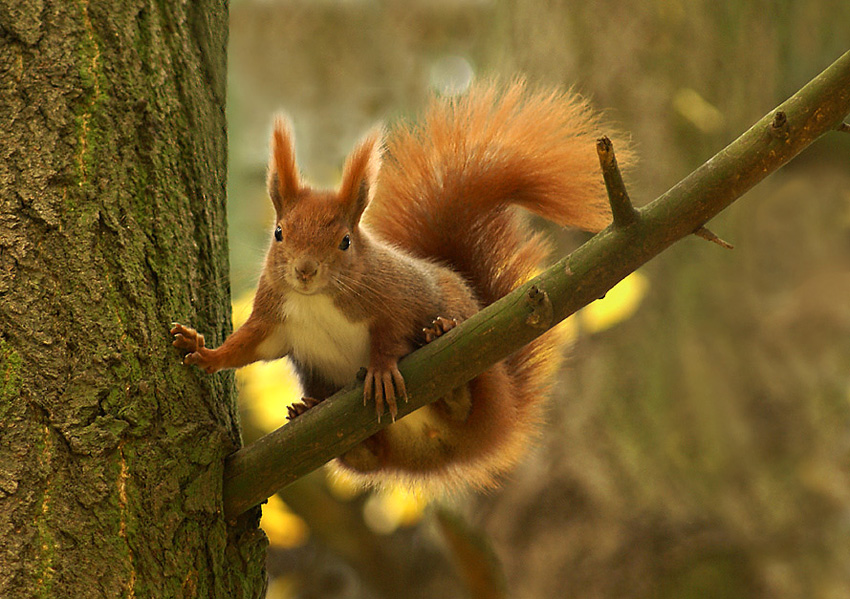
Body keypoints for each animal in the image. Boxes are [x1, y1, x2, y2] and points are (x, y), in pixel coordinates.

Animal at [169, 81, 628, 492]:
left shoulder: (392, 296)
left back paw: (445, 350)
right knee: (366, 458)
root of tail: (441, 451)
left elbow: (391, 330)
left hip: (475, 359)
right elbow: (245, 348)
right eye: (279, 233)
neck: (316, 300)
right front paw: (201, 351)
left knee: (462, 397)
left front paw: (382, 369)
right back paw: (319, 419)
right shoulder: (273, 319)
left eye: (345, 241)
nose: (305, 270)